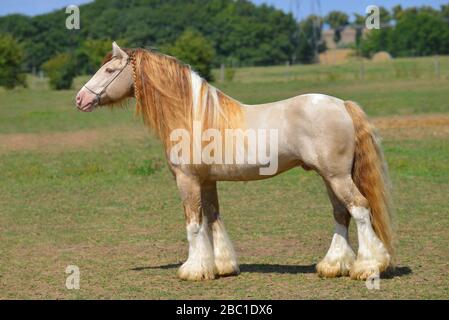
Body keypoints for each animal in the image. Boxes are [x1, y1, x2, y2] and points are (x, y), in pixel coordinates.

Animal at [75, 42, 394, 280]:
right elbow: (212, 218)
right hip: (330, 177)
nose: (80, 99)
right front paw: (221, 266)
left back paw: (368, 267)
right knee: (342, 214)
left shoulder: (187, 180)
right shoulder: (207, 180)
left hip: (337, 176)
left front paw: (192, 270)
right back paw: (333, 265)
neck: (192, 116)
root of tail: (342, 105)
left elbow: (193, 223)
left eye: (109, 69)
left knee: (360, 209)